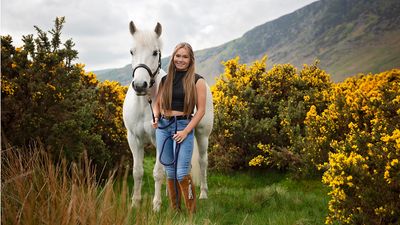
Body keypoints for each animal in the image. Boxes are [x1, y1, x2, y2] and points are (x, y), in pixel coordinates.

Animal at [122, 21, 214, 211]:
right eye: (131, 51)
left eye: (155, 52)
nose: (140, 85)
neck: (146, 103)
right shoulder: (133, 139)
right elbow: (137, 172)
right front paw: (135, 203)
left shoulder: (159, 139)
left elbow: (157, 172)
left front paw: (156, 205)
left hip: (202, 135)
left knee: (202, 162)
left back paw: (202, 194)